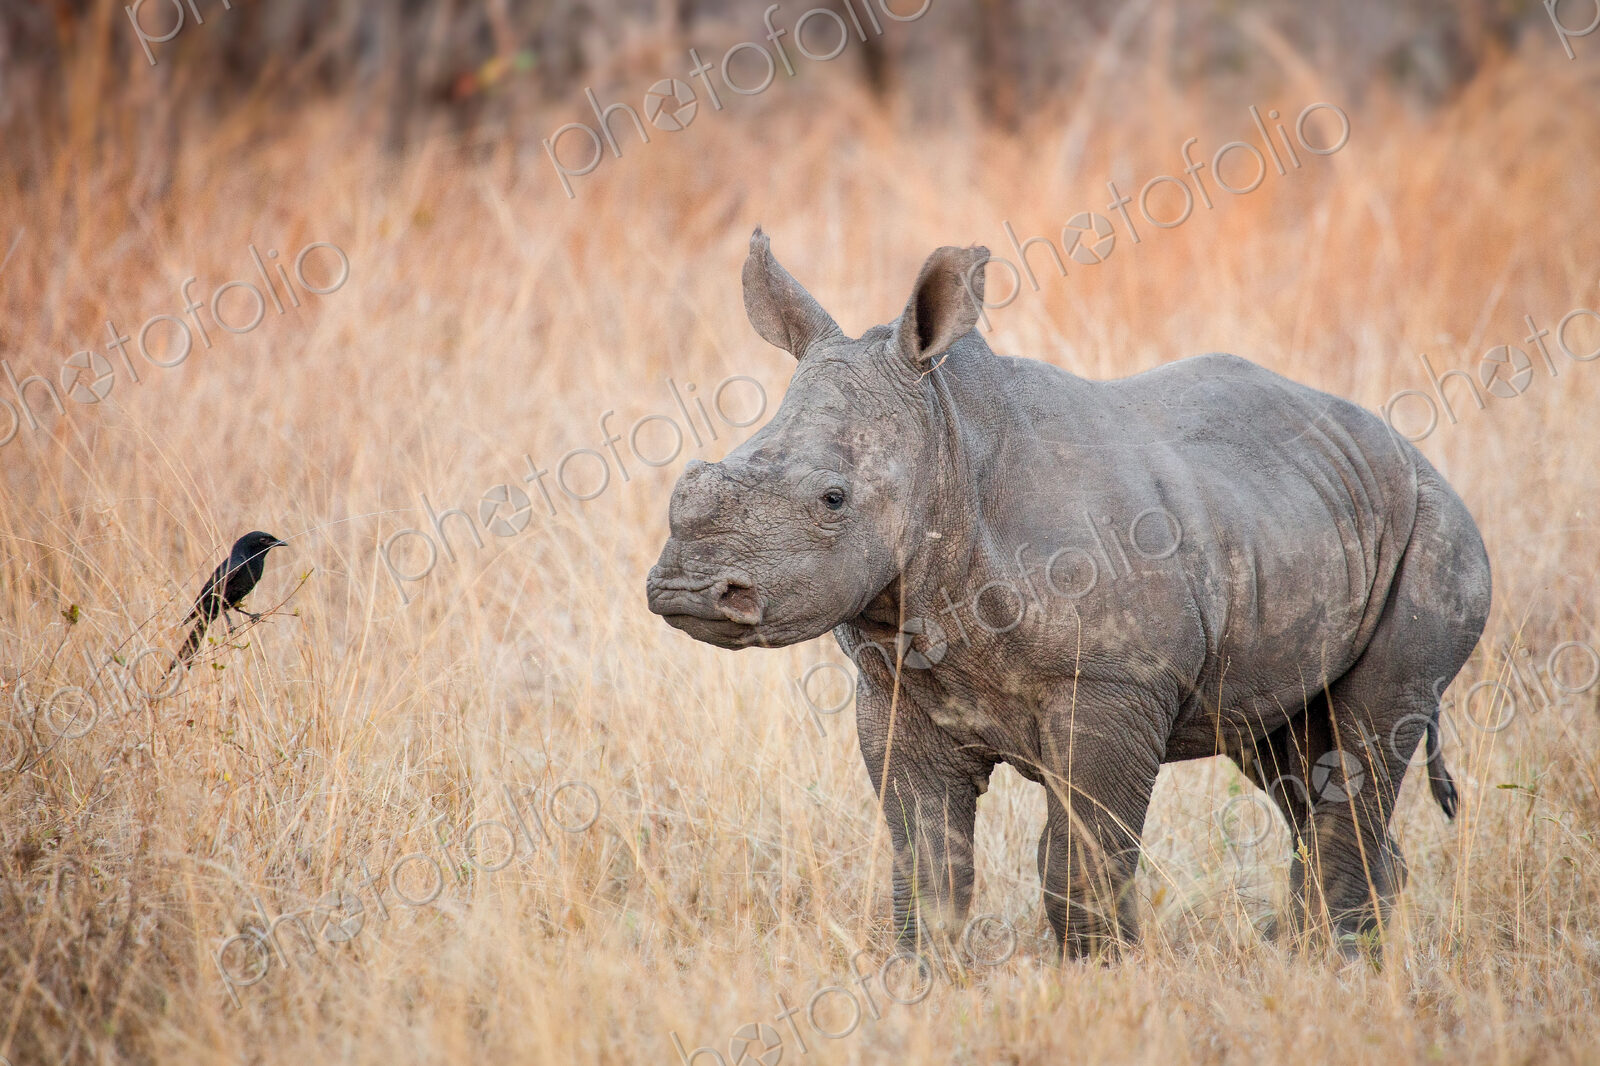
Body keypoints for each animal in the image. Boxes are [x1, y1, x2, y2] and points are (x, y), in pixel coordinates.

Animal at [646, 229, 1491, 957]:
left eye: (832, 499)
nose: (688, 589)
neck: (949, 448)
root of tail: (1414, 455)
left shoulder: (1114, 684)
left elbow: (1081, 860)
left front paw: (1104, 977)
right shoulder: (892, 689)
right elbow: (928, 863)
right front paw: (922, 979)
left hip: (1437, 535)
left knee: (1361, 743)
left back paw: (1334, 962)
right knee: (1289, 752)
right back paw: (1342, 957)